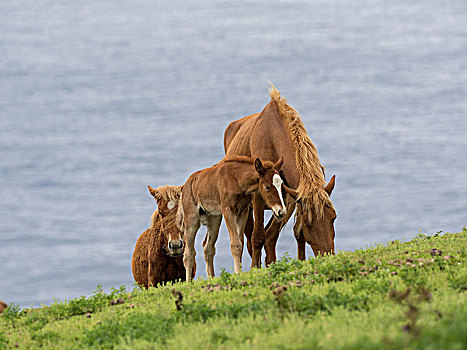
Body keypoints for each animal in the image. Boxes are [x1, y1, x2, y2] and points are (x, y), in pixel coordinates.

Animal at [225, 85, 338, 268]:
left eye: (334, 217)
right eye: (309, 224)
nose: (328, 257)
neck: (272, 137)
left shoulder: (290, 199)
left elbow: (292, 234)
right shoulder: (259, 197)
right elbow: (257, 237)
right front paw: (256, 269)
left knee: (270, 237)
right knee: (250, 238)